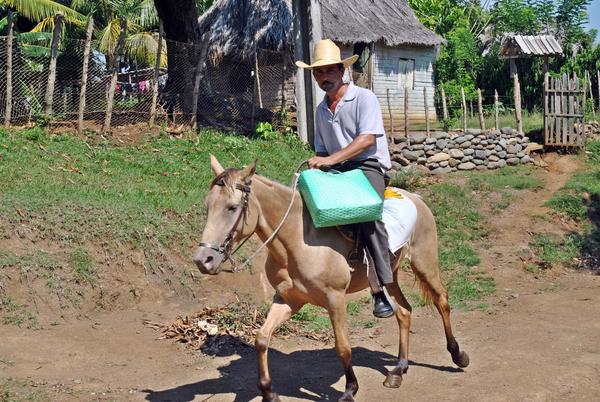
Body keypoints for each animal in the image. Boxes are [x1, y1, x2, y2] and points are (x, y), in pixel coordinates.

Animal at [192, 156, 468, 402]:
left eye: (232, 207)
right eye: (207, 206)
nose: (203, 260)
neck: (298, 240)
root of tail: (415, 198)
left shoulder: (335, 299)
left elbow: (342, 346)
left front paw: (349, 390)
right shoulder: (288, 299)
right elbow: (261, 339)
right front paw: (269, 393)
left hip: (424, 262)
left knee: (442, 300)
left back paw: (457, 356)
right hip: (391, 274)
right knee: (404, 312)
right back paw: (398, 369)